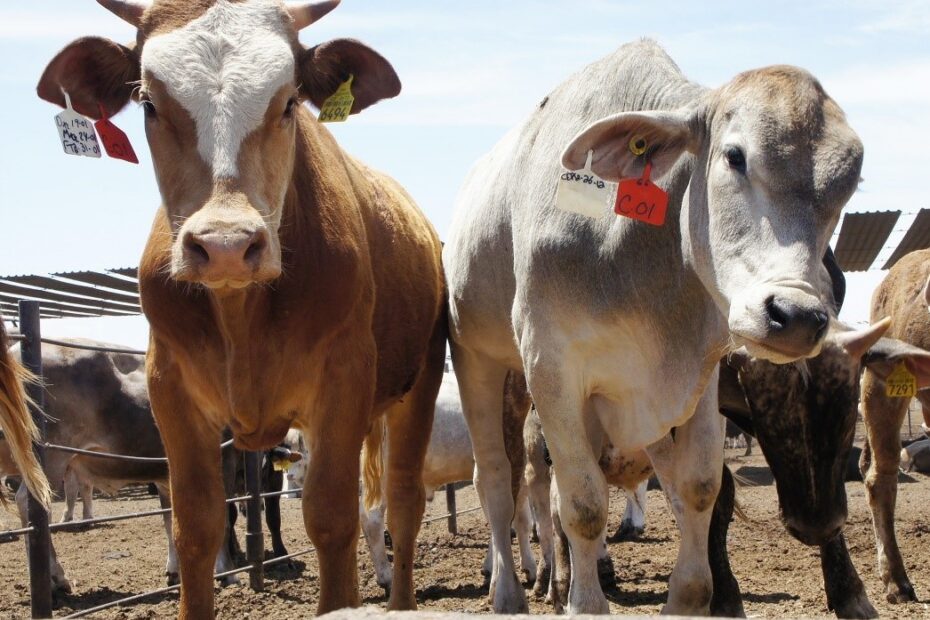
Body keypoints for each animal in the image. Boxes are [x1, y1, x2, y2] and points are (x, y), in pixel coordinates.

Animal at [38, 1, 446, 615]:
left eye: (289, 102)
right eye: (149, 103)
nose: (226, 245)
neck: (242, 316)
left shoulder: (344, 378)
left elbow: (332, 520)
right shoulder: (171, 389)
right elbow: (197, 527)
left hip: (419, 384)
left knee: (402, 501)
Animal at [444, 38, 863, 614]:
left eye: (849, 183)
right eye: (735, 156)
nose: (797, 315)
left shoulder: (698, 377)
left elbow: (701, 489)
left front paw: (694, 595)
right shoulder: (551, 368)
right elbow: (582, 505)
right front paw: (584, 601)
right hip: (480, 362)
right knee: (496, 482)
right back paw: (508, 591)